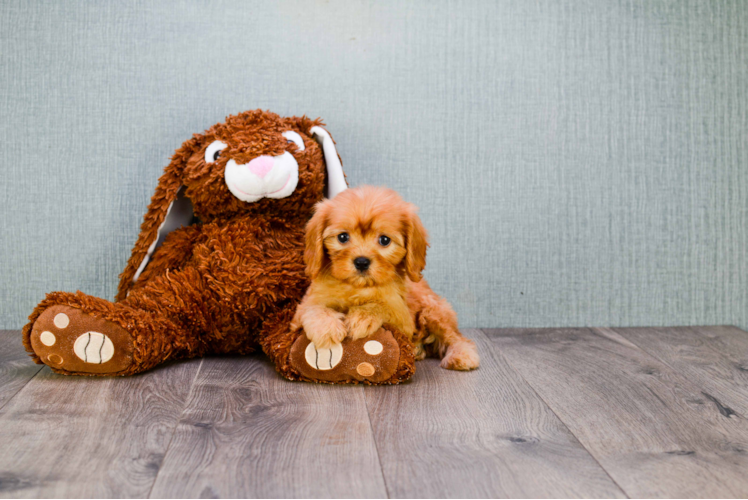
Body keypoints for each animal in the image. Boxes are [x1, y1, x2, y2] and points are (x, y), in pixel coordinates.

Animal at [292, 186, 480, 370]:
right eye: (343, 237)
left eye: (384, 240)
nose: (361, 262)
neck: (357, 287)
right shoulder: (302, 310)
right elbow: (314, 308)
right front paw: (326, 328)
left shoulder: (403, 318)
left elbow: (382, 307)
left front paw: (362, 317)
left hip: (434, 311)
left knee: (456, 337)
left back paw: (461, 355)